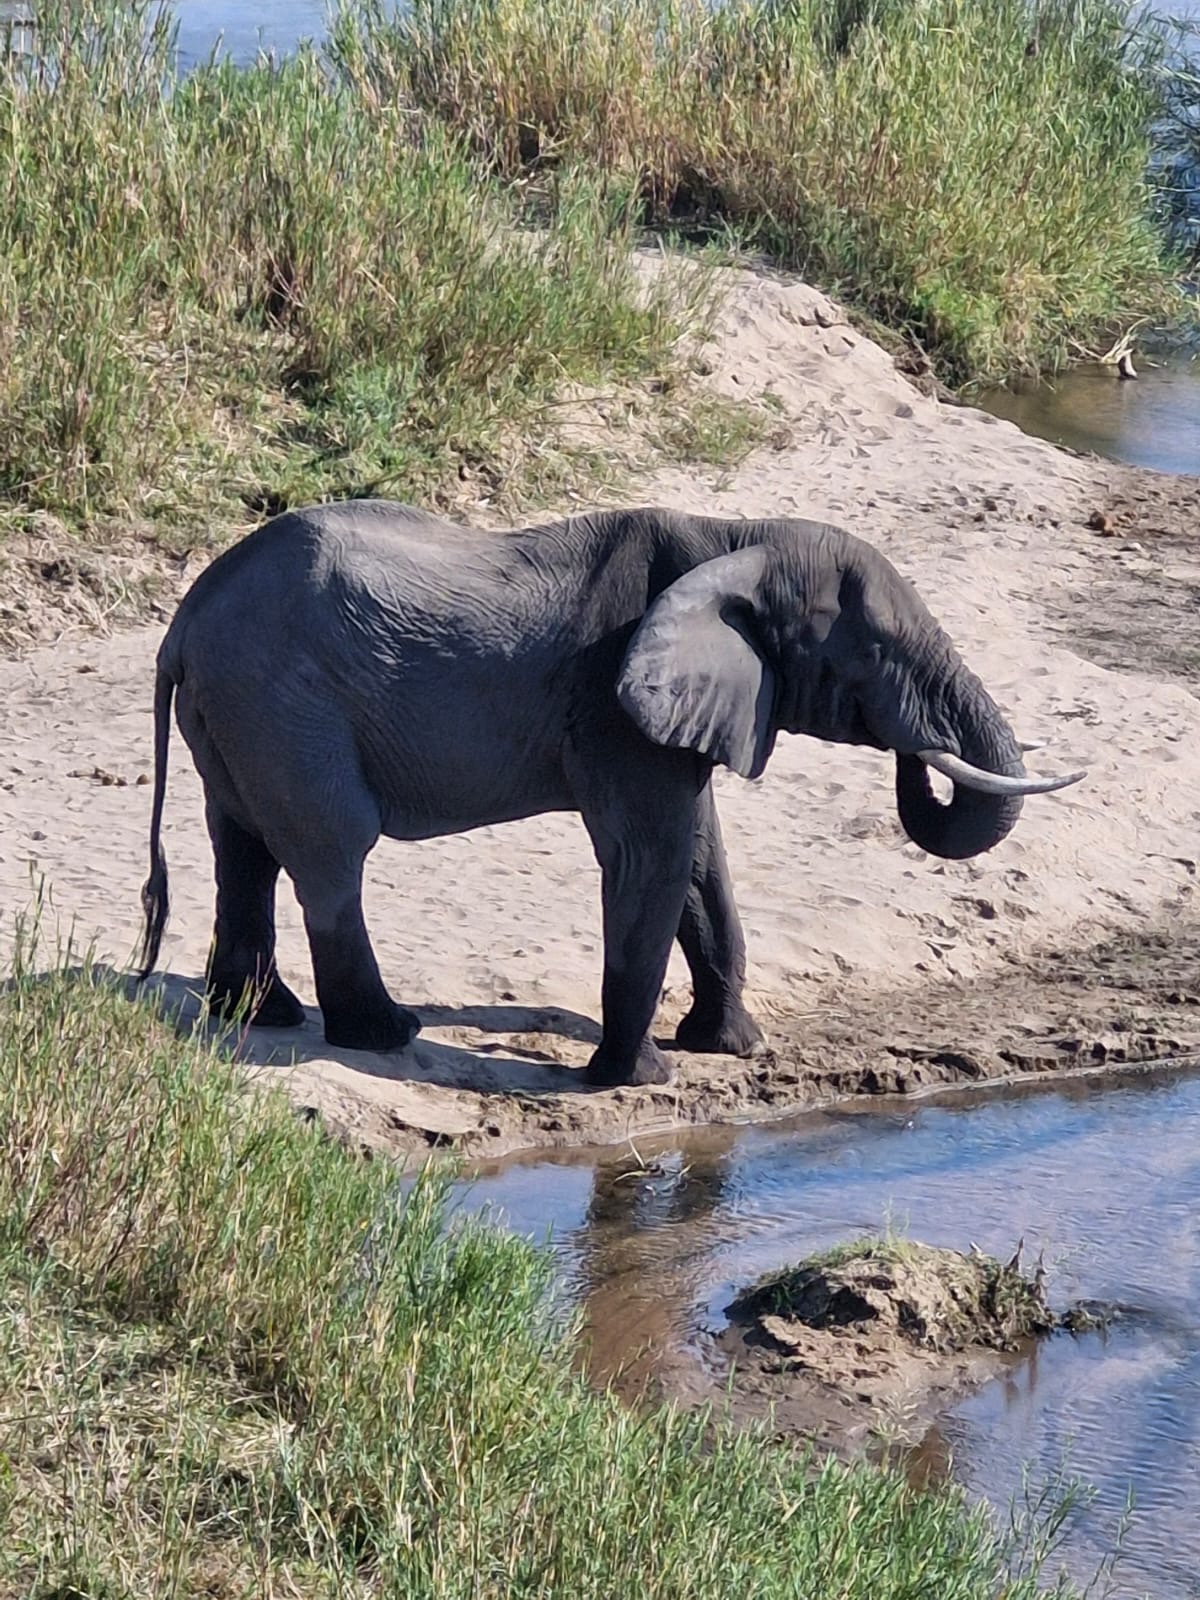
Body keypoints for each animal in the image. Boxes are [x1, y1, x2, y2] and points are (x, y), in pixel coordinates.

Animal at [136, 500, 1084, 1088]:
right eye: (877, 651)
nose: (916, 752)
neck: (733, 538)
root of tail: (181, 623)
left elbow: (700, 858)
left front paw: (731, 1048)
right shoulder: (614, 706)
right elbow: (650, 856)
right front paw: (634, 1079)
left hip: (238, 709)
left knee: (243, 847)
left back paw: (260, 1015)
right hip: (285, 703)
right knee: (331, 852)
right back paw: (385, 1032)